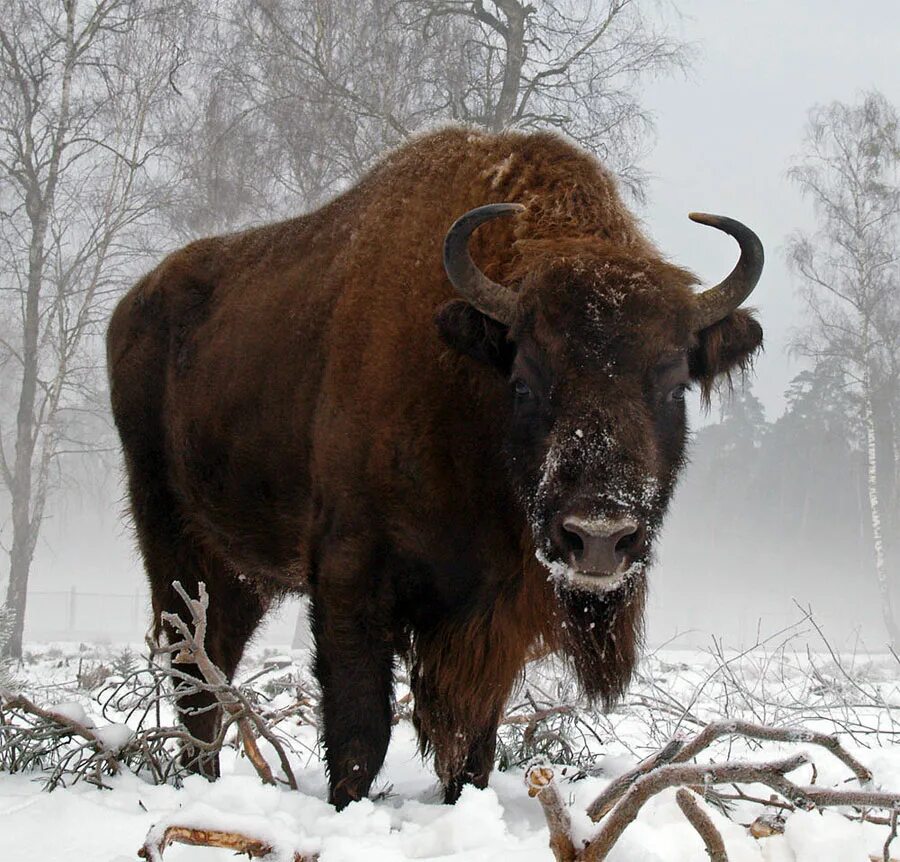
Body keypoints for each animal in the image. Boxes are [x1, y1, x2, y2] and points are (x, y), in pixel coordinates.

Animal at [109, 126, 764, 808]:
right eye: (525, 380)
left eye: (673, 386)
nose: (600, 537)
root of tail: (130, 307)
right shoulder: (350, 579)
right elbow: (360, 733)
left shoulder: (493, 616)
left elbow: (471, 745)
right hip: (175, 546)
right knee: (194, 675)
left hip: (241, 577)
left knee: (216, 661)